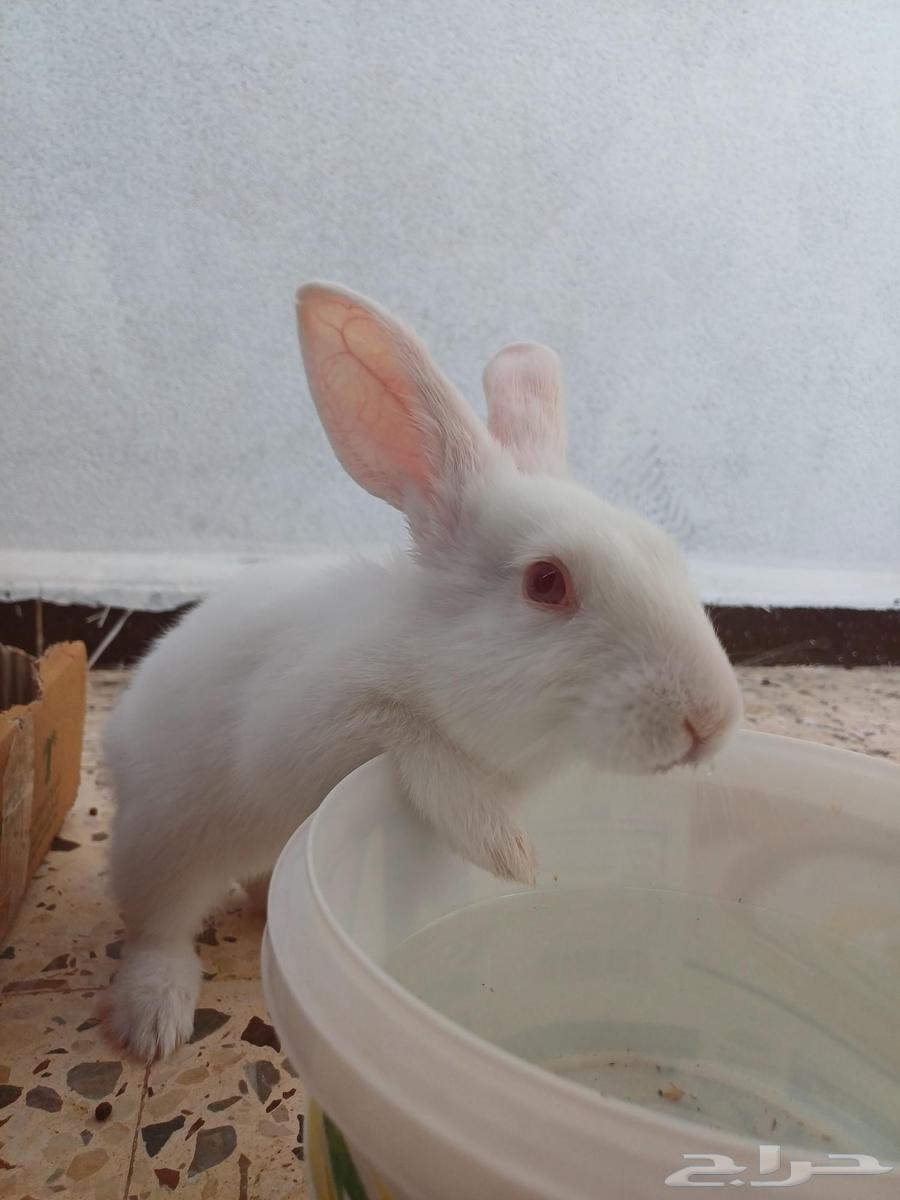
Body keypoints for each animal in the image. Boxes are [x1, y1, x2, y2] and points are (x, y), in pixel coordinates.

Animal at [102, 282, 743, 1060]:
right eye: (546, 582)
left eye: (666, 552)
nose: (710, 720)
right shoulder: (309, 722)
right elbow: (419, 744)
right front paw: (506, 850)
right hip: (164, 846)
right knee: (155, 928)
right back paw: (155, 1023)